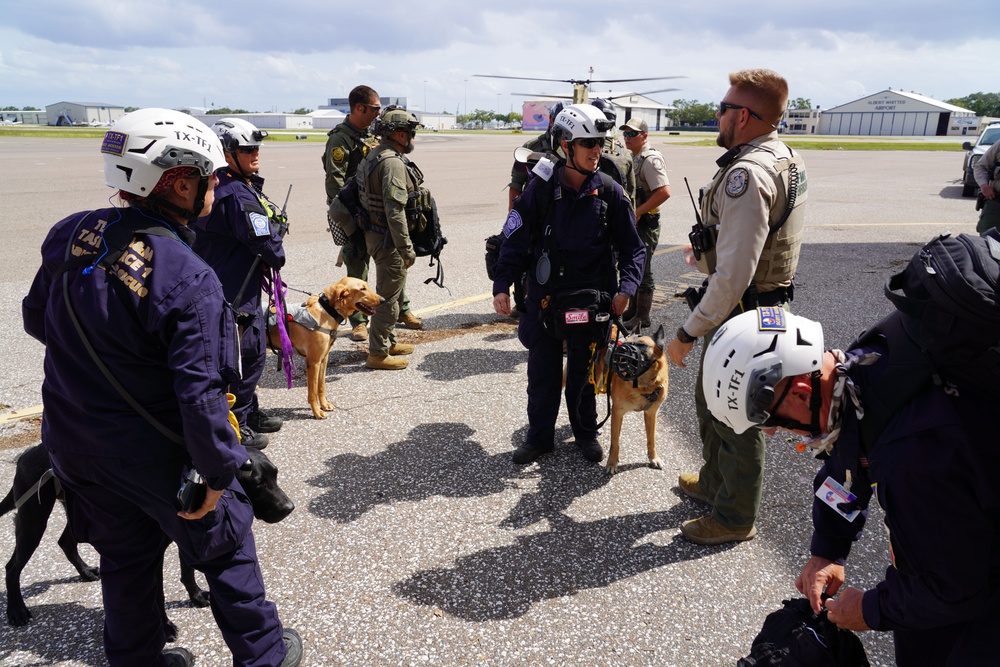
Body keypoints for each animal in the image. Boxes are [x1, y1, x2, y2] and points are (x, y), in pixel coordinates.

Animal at [1, 444, 292, 636]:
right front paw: (165, 627)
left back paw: (85, 572)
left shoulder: (188, 533)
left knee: (65, 542)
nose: (290, 508)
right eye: (258, 483)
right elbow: (158, 595)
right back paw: (16, 610)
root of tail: (25, 455)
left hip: (80, 513)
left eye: (276, 475)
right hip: (33, 520)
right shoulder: (153, 555)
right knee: (12, 566)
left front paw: (196, 595)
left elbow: (188, 571)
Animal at [268, 276, 384, 418]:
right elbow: (312, 392)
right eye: (362, 289)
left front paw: (324, 404)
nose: (383, 300)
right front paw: (317, 411)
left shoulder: (323, 359)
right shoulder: (313, 362)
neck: (328, 312)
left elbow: (321, 386)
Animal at [592, 324, 672, 474]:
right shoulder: (617, 412)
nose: (620, 351)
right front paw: (612, 463)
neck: (642, 386)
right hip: (596, 380)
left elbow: (652, 439)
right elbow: (615, 442)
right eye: (626, 343)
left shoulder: (651, 413)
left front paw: (654, 458)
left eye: (641, 344)